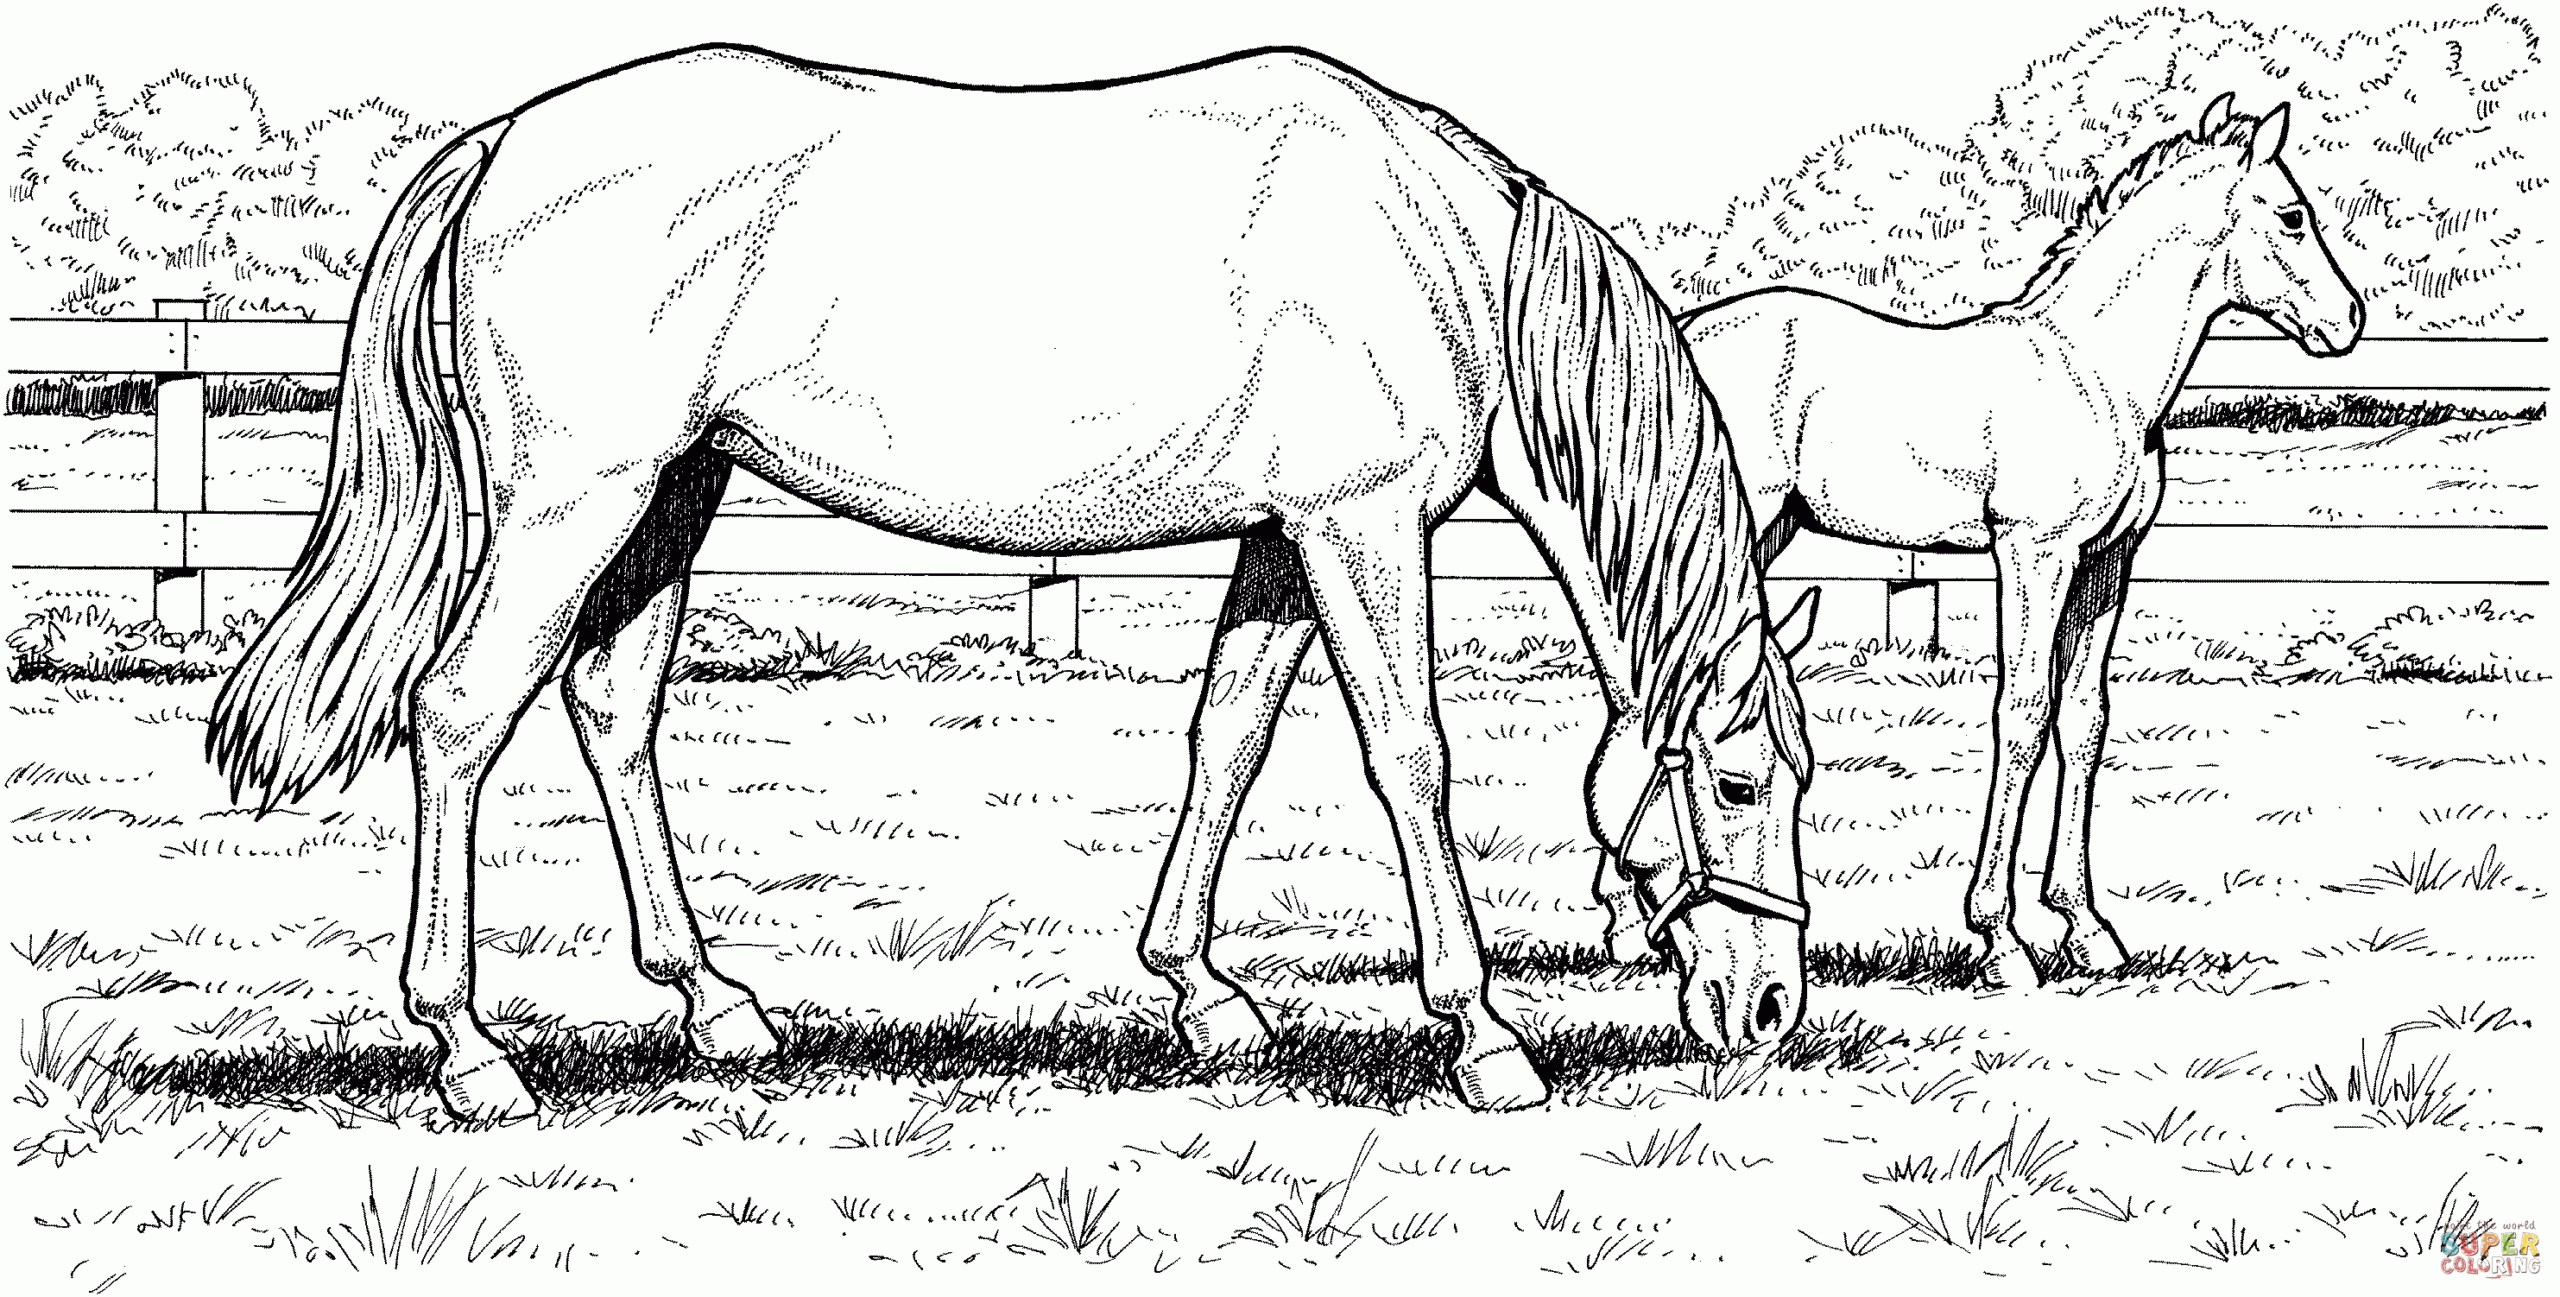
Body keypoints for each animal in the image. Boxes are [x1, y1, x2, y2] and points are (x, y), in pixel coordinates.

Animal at [208, 44, 1821, 1122]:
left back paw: (721, 1008)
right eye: (1740, 780)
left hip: (670, 495)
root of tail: (501, 143)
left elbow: (1227, 736)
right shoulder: (1358, 527)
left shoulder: (1280, 536)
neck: (1444, 260)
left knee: (612, 707)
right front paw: (1486, 1037)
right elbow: (1409, 755)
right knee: (459, 712)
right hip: (573, 503)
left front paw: (1204, 998)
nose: (1766, 1007)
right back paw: (471, 1054)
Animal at [1674, 94, 2362, 989]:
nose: (2348, 321)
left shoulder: (2107, 563)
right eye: (2292, 215)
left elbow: (2086, 718)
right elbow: (2025, 713)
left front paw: (2088, 927)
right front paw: (2001, 938)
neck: (2097, 372)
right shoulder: (2035, 555)